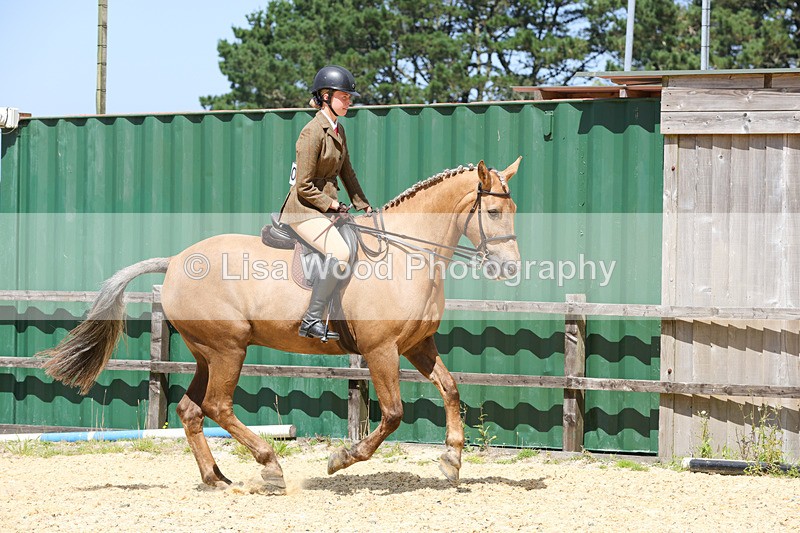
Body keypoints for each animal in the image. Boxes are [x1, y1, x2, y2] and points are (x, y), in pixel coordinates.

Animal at [40, 157, 523, 490]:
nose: (511, 269)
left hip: (206, 354)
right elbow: (392, 414)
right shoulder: (381, 350)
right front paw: (341, 459)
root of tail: (175, 261)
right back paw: (270, 465)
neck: (406, 256)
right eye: (494, 214)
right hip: (229, 348)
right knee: (217, 407)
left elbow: (451, 389)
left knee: (191, 410)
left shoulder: (418, 346)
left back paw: (216, 478)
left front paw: (452, 462)